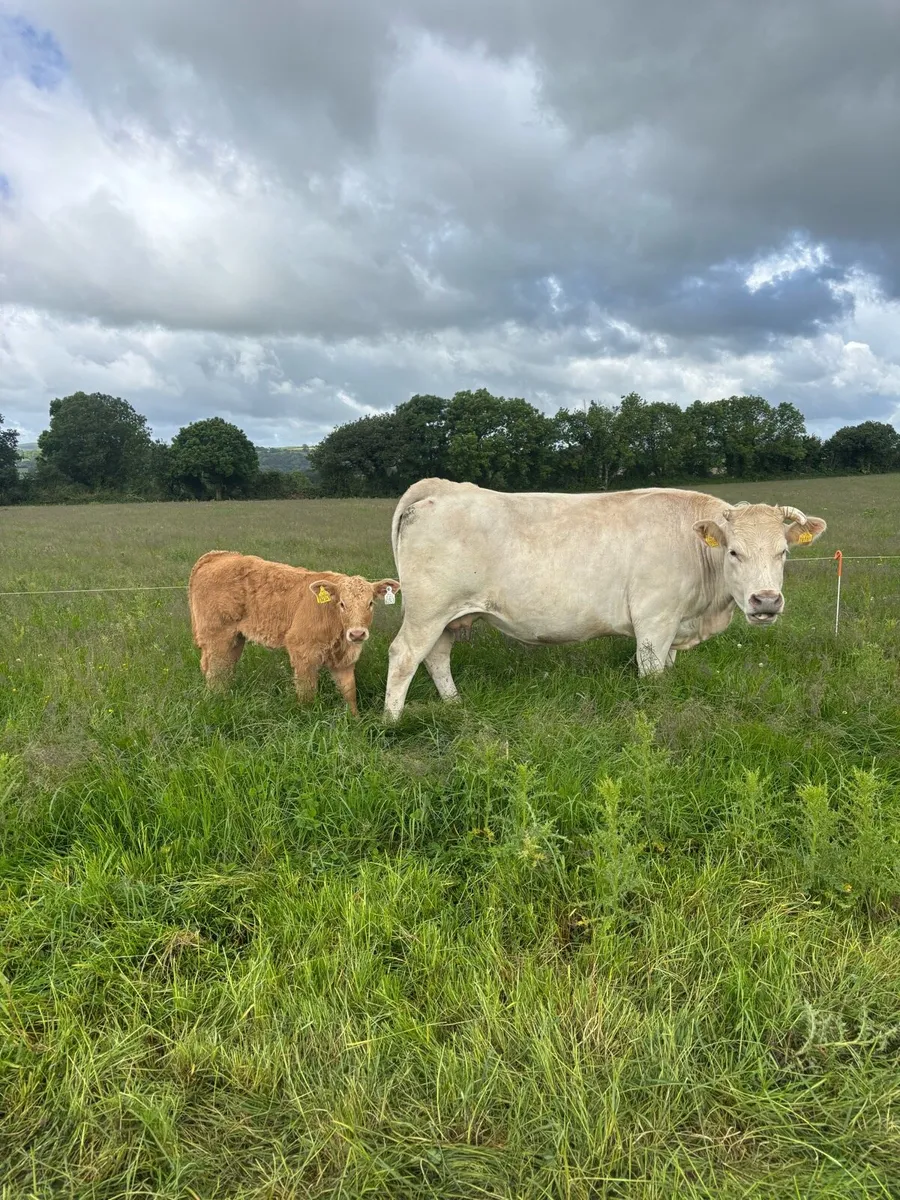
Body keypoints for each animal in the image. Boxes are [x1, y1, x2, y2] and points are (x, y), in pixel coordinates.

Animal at [188, 551, 399, 716]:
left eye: (370, 603)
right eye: (342, 604)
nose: (357, 634)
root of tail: (217, 555)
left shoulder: (344, 661)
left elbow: (350, 692)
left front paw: (355, 720)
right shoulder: (303, 651)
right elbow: (307, 692)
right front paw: (307, 718)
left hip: (235, 639)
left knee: (221, 668)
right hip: (217, 636)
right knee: (215, 673)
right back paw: (218, 702)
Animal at [383, 478, 826, 721]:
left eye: (783, 553)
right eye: (734, 552)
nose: (765, 601)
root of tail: (443, 488)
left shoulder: (673, 625)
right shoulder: (654, 622)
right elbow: (652, 676)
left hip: (447, 616)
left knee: (437, 657)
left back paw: (454, 704)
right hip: (427, 611)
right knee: (404, 655)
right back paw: (391, 720)